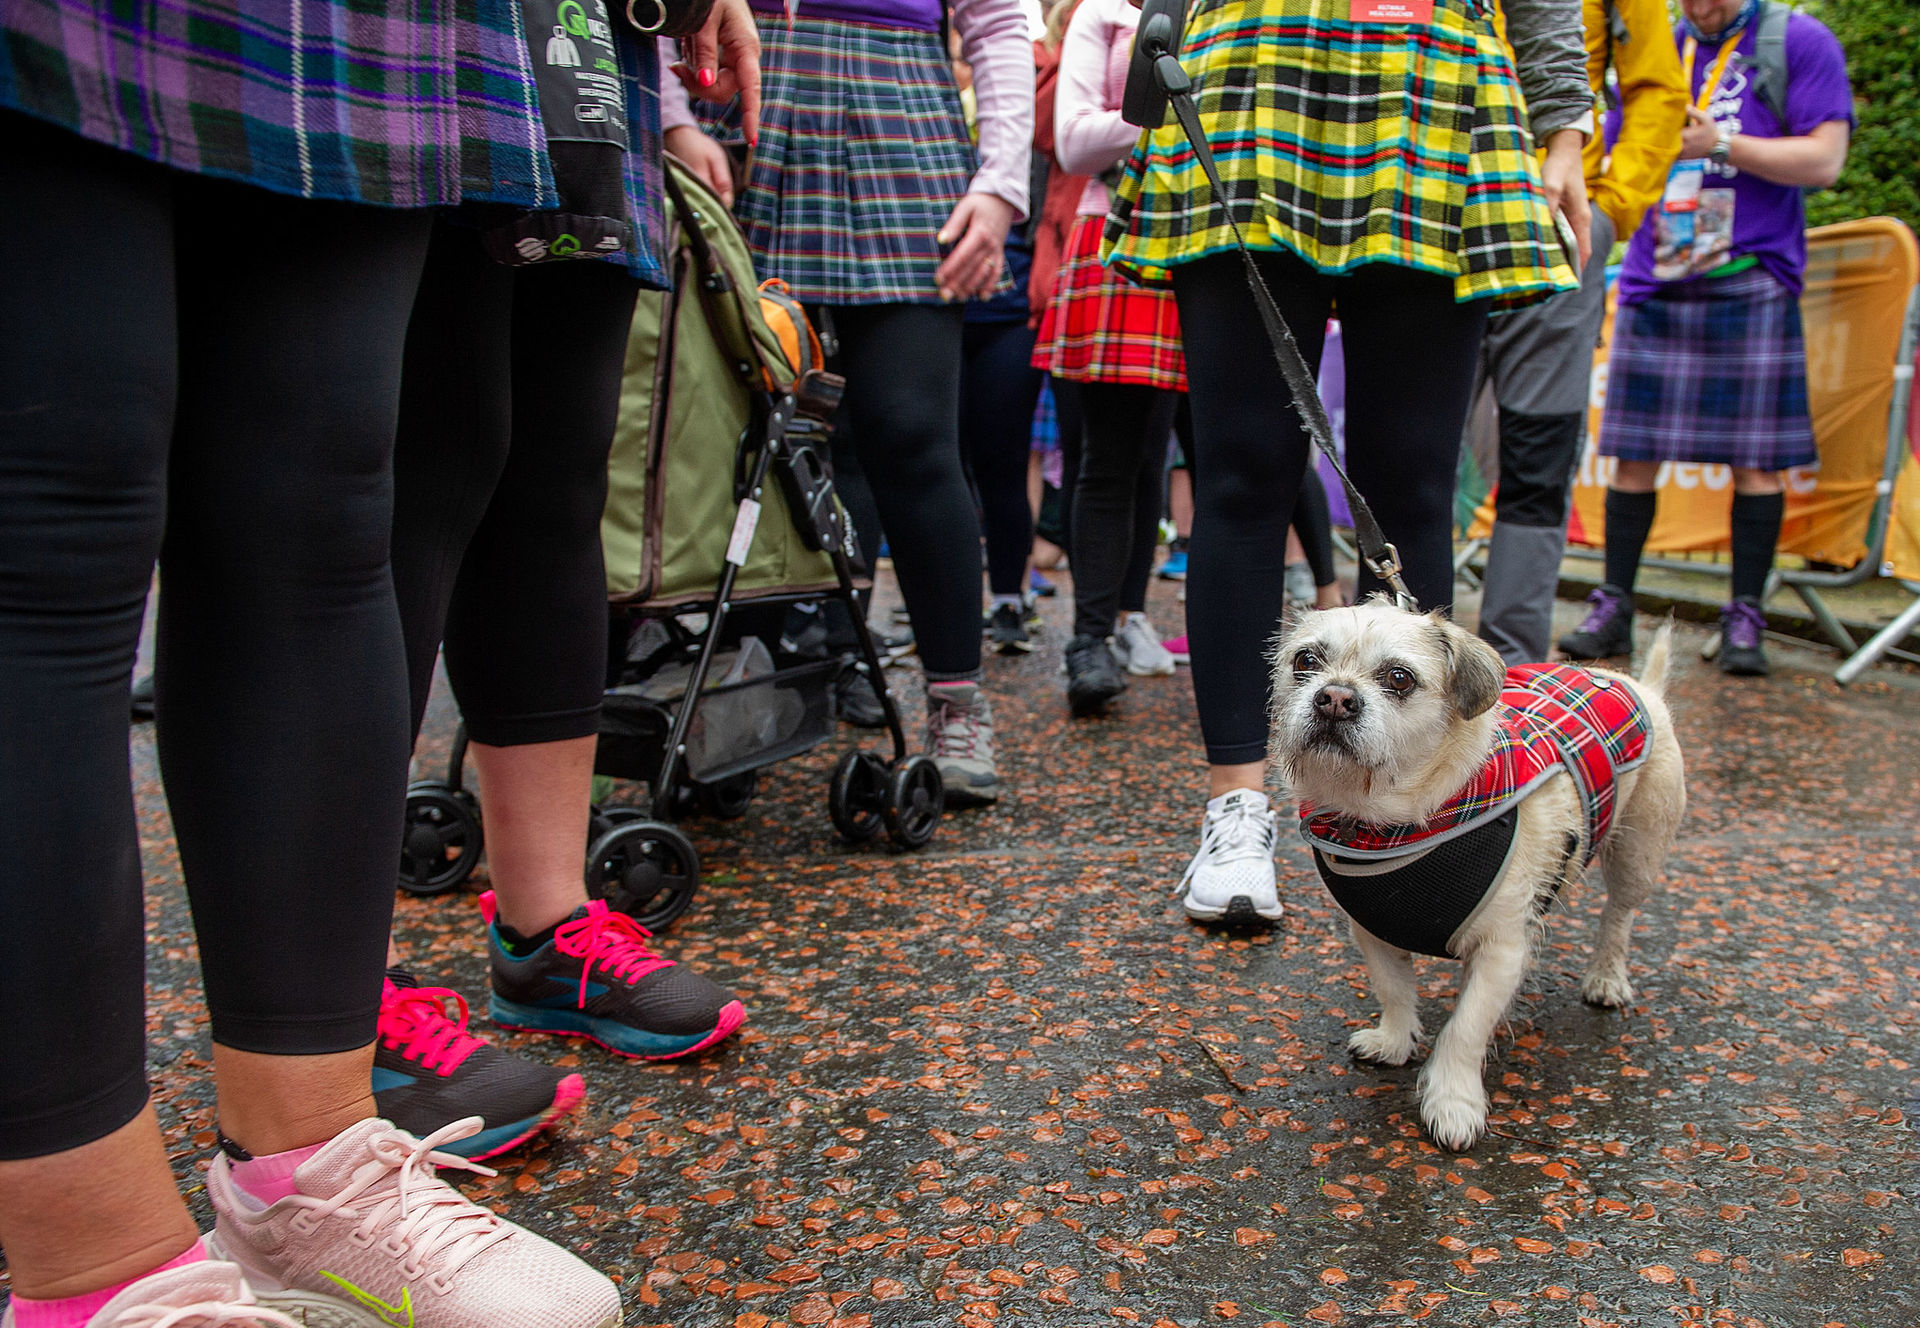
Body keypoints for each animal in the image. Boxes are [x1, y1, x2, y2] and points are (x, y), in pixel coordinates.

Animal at [1267, 602, 1689, 1151]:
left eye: (1399, 678)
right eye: (1306, 661)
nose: (1334, 698)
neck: (1391, 823)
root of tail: (1641, 686)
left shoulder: (1502, 950)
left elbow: (1466, 1027)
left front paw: (1453, 1101)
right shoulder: (1372, 932)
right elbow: (1394, 989)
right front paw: (1395, 1040)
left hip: (1637, 855)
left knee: (1618, 917)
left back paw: (1606, 976)